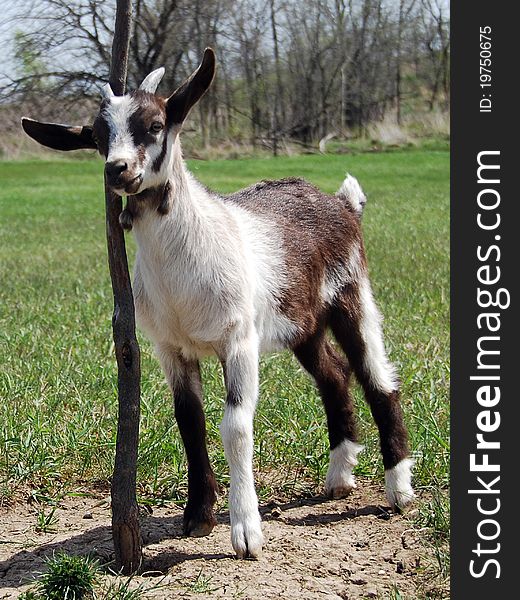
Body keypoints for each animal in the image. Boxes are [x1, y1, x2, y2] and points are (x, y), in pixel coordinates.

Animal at [22, 49, 414, 560]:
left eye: (155, 124)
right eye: (97, 136)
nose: (117, 170)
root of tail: (343, 203)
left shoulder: (238, 340)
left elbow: (236, 425)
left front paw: (245, 532)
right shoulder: (170, 348)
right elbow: (189, 421)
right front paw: (197, 516)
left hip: (353, 295)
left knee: (377, 379)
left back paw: (398, 489)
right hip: (301, 321)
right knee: (334, 373)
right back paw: (339, 476)